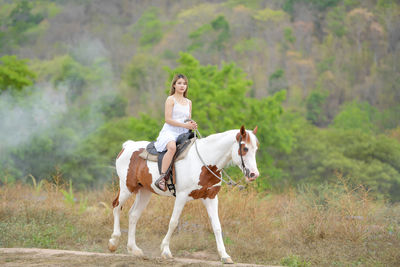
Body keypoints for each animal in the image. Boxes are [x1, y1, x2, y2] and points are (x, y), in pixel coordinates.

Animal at [108, 125, 260, 264]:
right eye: (245, 148)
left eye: (256, 149)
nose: (253, 174)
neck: (205, 162)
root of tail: (128, 146)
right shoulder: (182, 196)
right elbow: (173, 222)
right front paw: (166, 251)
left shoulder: (211, 197)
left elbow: (217, 226)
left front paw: (224, 255)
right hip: (126, 187)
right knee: (116, 206)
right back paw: (113, 242)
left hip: (145, 192)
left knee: (133, 215)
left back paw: (134, 249)